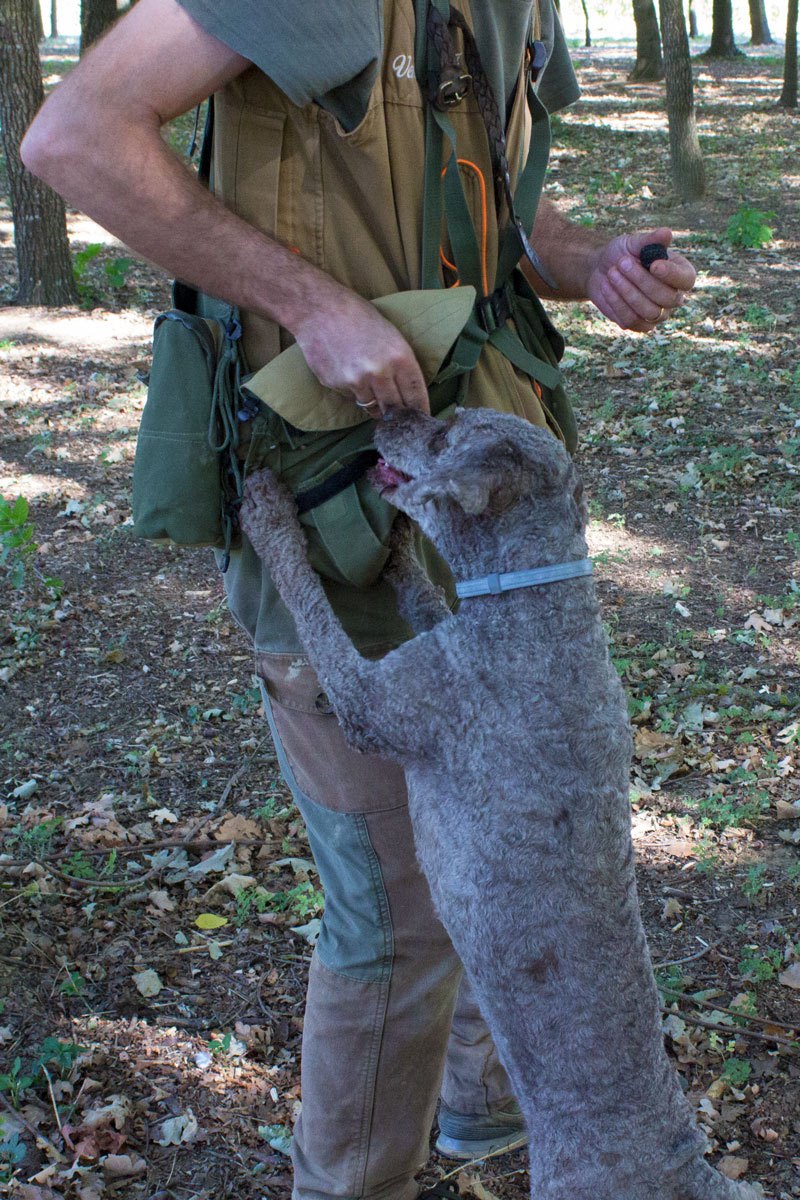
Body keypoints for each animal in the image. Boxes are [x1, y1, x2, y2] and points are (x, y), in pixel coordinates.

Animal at [242, 408, 762, 1195]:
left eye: (444, 429)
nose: (385, 411)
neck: (533, 597)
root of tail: (684, 1170)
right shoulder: (442, 626)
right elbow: (420, 591)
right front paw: (396, 553)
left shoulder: (377, 705)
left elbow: (311, 605)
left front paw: (269, 517)